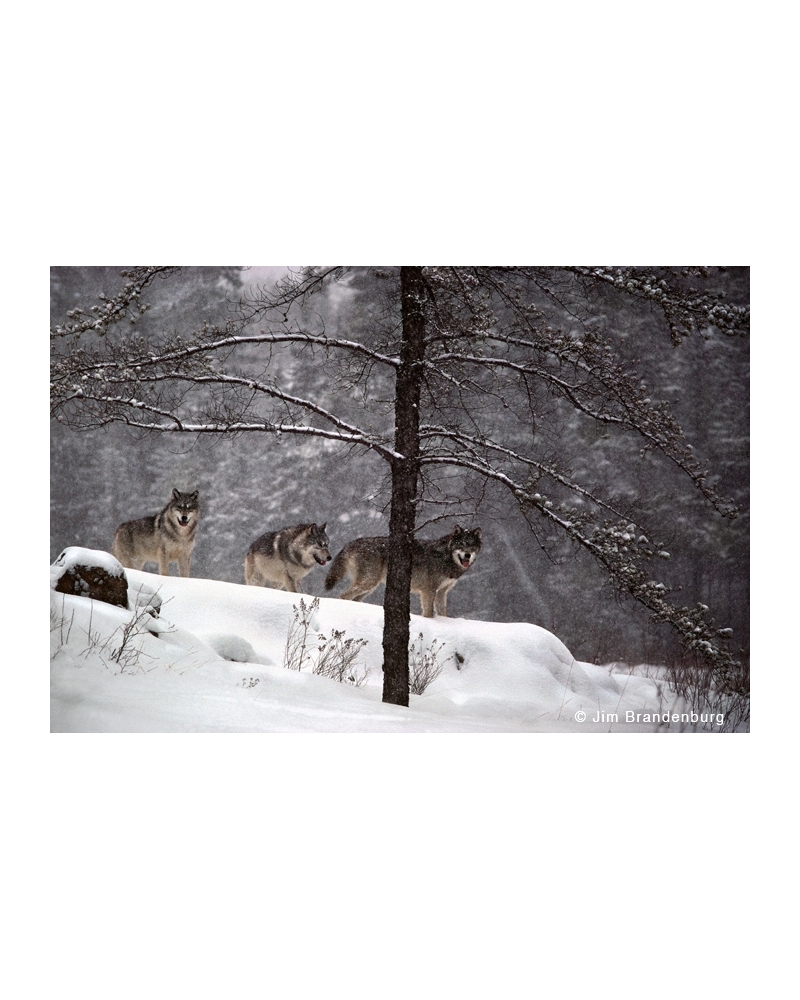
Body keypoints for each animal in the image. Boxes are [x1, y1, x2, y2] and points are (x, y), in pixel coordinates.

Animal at [325, 525, 482, 618]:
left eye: (472, 546)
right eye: (461, 545)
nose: (467, 555)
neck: (446, 557)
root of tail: (350, 544)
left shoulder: (442, 592)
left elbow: (443, 613)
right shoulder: (429, 590)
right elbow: (429, 613)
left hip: (370, 587)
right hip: (368, 582)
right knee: (343, 595)